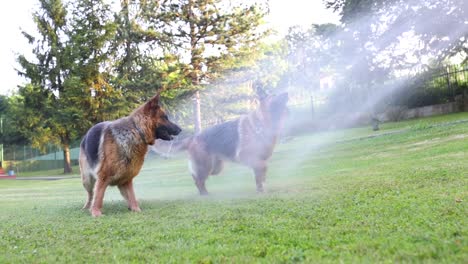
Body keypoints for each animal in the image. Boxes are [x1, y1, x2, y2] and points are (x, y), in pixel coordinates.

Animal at [156, 92, 288, 194]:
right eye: (273, 95)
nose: (287, 93)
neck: (262, 123)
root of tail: (193, 137)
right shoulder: (248, 156)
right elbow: (262, 167)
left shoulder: (259, 160)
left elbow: (261, 176)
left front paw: (261, 189)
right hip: (206, 166)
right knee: (198, 179)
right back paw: (205, 194)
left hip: (215, 168)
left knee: (195, 176)